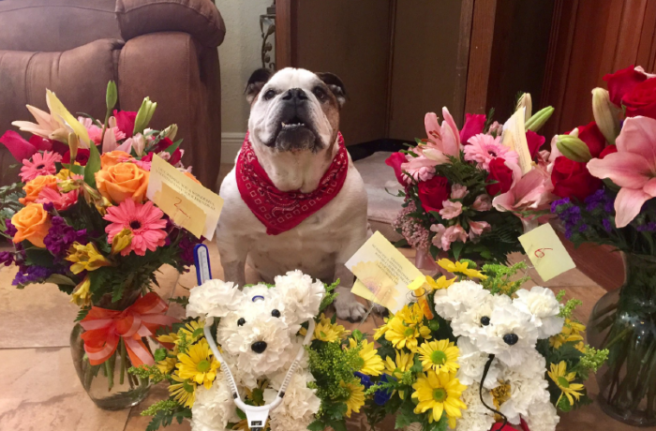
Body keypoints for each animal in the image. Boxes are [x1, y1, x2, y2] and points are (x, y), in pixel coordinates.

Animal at [216, 67, 369, 320]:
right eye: (269, 93)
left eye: (320, 92)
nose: (295, 94)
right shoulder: (231, 240)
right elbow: (234, 277)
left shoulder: (352, 238)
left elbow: (345, 276)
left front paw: (347, 304)